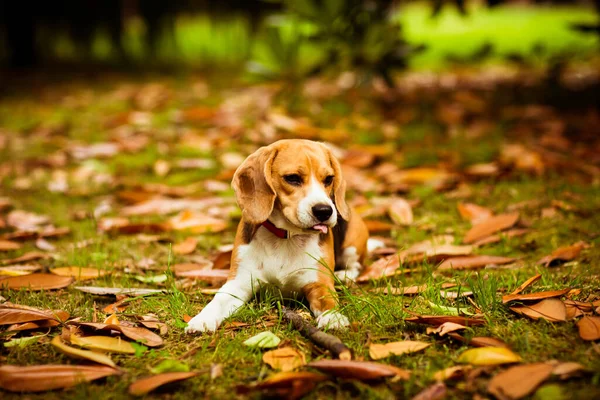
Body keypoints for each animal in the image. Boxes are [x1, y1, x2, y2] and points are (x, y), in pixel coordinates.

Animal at [185, 139, 368, 332]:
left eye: (329, 179)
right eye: (292, 178)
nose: (324, 211)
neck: (286, 237)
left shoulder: (319, 283)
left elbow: (328, 300)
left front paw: (333, 317)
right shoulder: (238, 283)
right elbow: (218, 300)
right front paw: (202, 318)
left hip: (353, 242)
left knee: (355, 265)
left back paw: (343, 275)